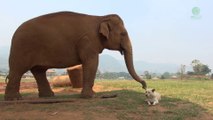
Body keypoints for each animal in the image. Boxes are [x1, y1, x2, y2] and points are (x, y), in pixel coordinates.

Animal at [4, 11, 146, 100]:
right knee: (18, 71)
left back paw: (48, 96)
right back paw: (15, 99)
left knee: (39, 71)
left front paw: (91, 94)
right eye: (123, 34)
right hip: (21, 49)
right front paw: (90, 96)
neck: (100, 17)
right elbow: (92, 62)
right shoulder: (87, 41)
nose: (144, 86)